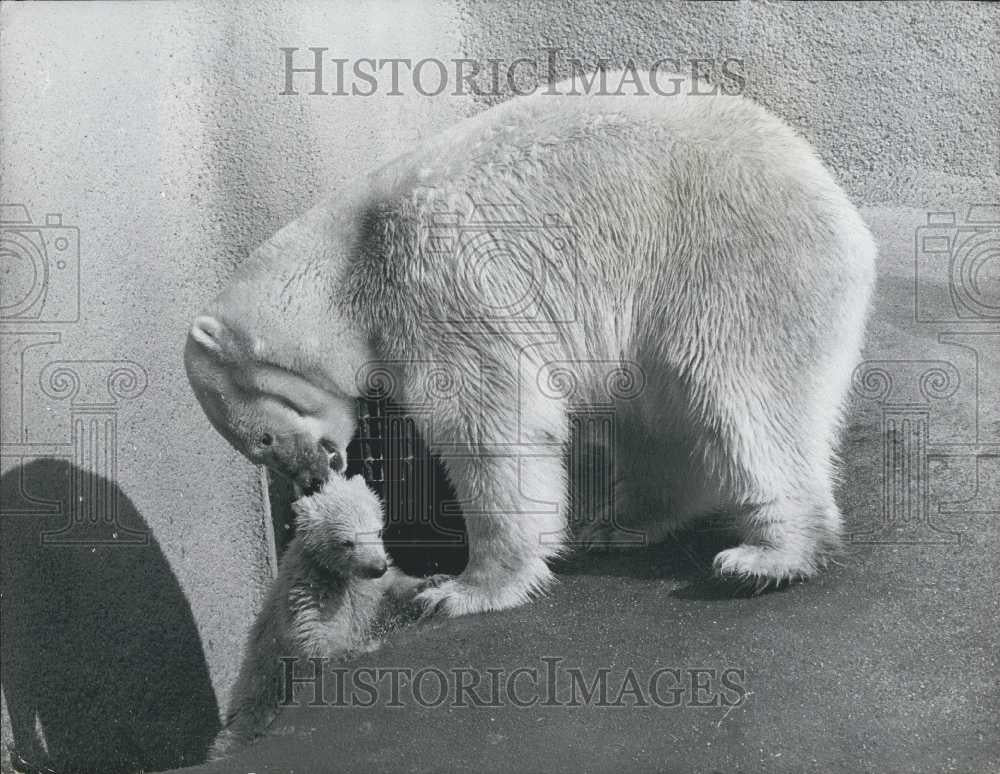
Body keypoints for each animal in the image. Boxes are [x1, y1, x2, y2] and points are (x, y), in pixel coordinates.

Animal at [186, 73, 876, 620]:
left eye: (263, 439)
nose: (310, 477)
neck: (349, 258)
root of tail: (837, 204)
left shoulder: (434, 286)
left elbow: (489, 426)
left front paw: (457, 589)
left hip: (728, 263)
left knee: (747, 396)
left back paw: (766, 557)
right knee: (654, 419)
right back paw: (620, 523)